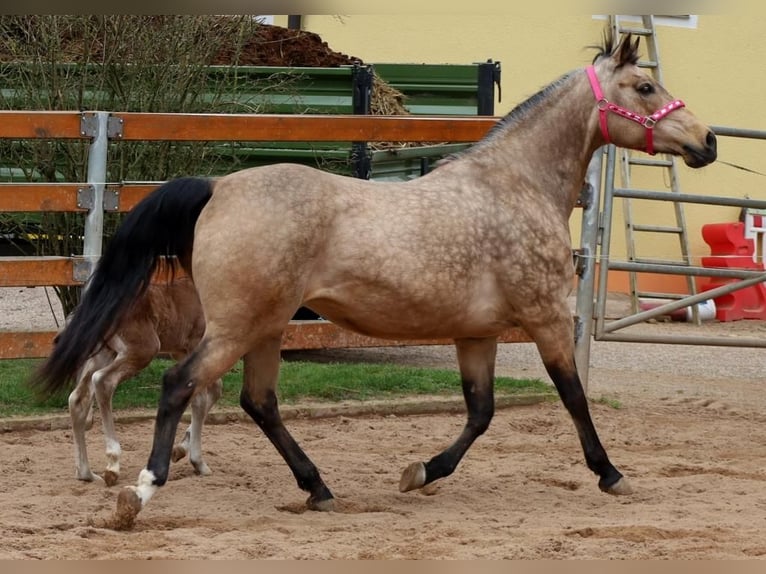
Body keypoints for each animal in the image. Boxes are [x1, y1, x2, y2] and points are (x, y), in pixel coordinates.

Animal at [65, 278, 222, 486]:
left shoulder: (181, 352)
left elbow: (211, 392)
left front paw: (180, 450)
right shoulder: (194, 346)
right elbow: (201, 398)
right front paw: (198, 462)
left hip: (105, 352)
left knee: (78, 398)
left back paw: (86, 473)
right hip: (143, 349)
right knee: (102, 380)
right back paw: (112, 466)